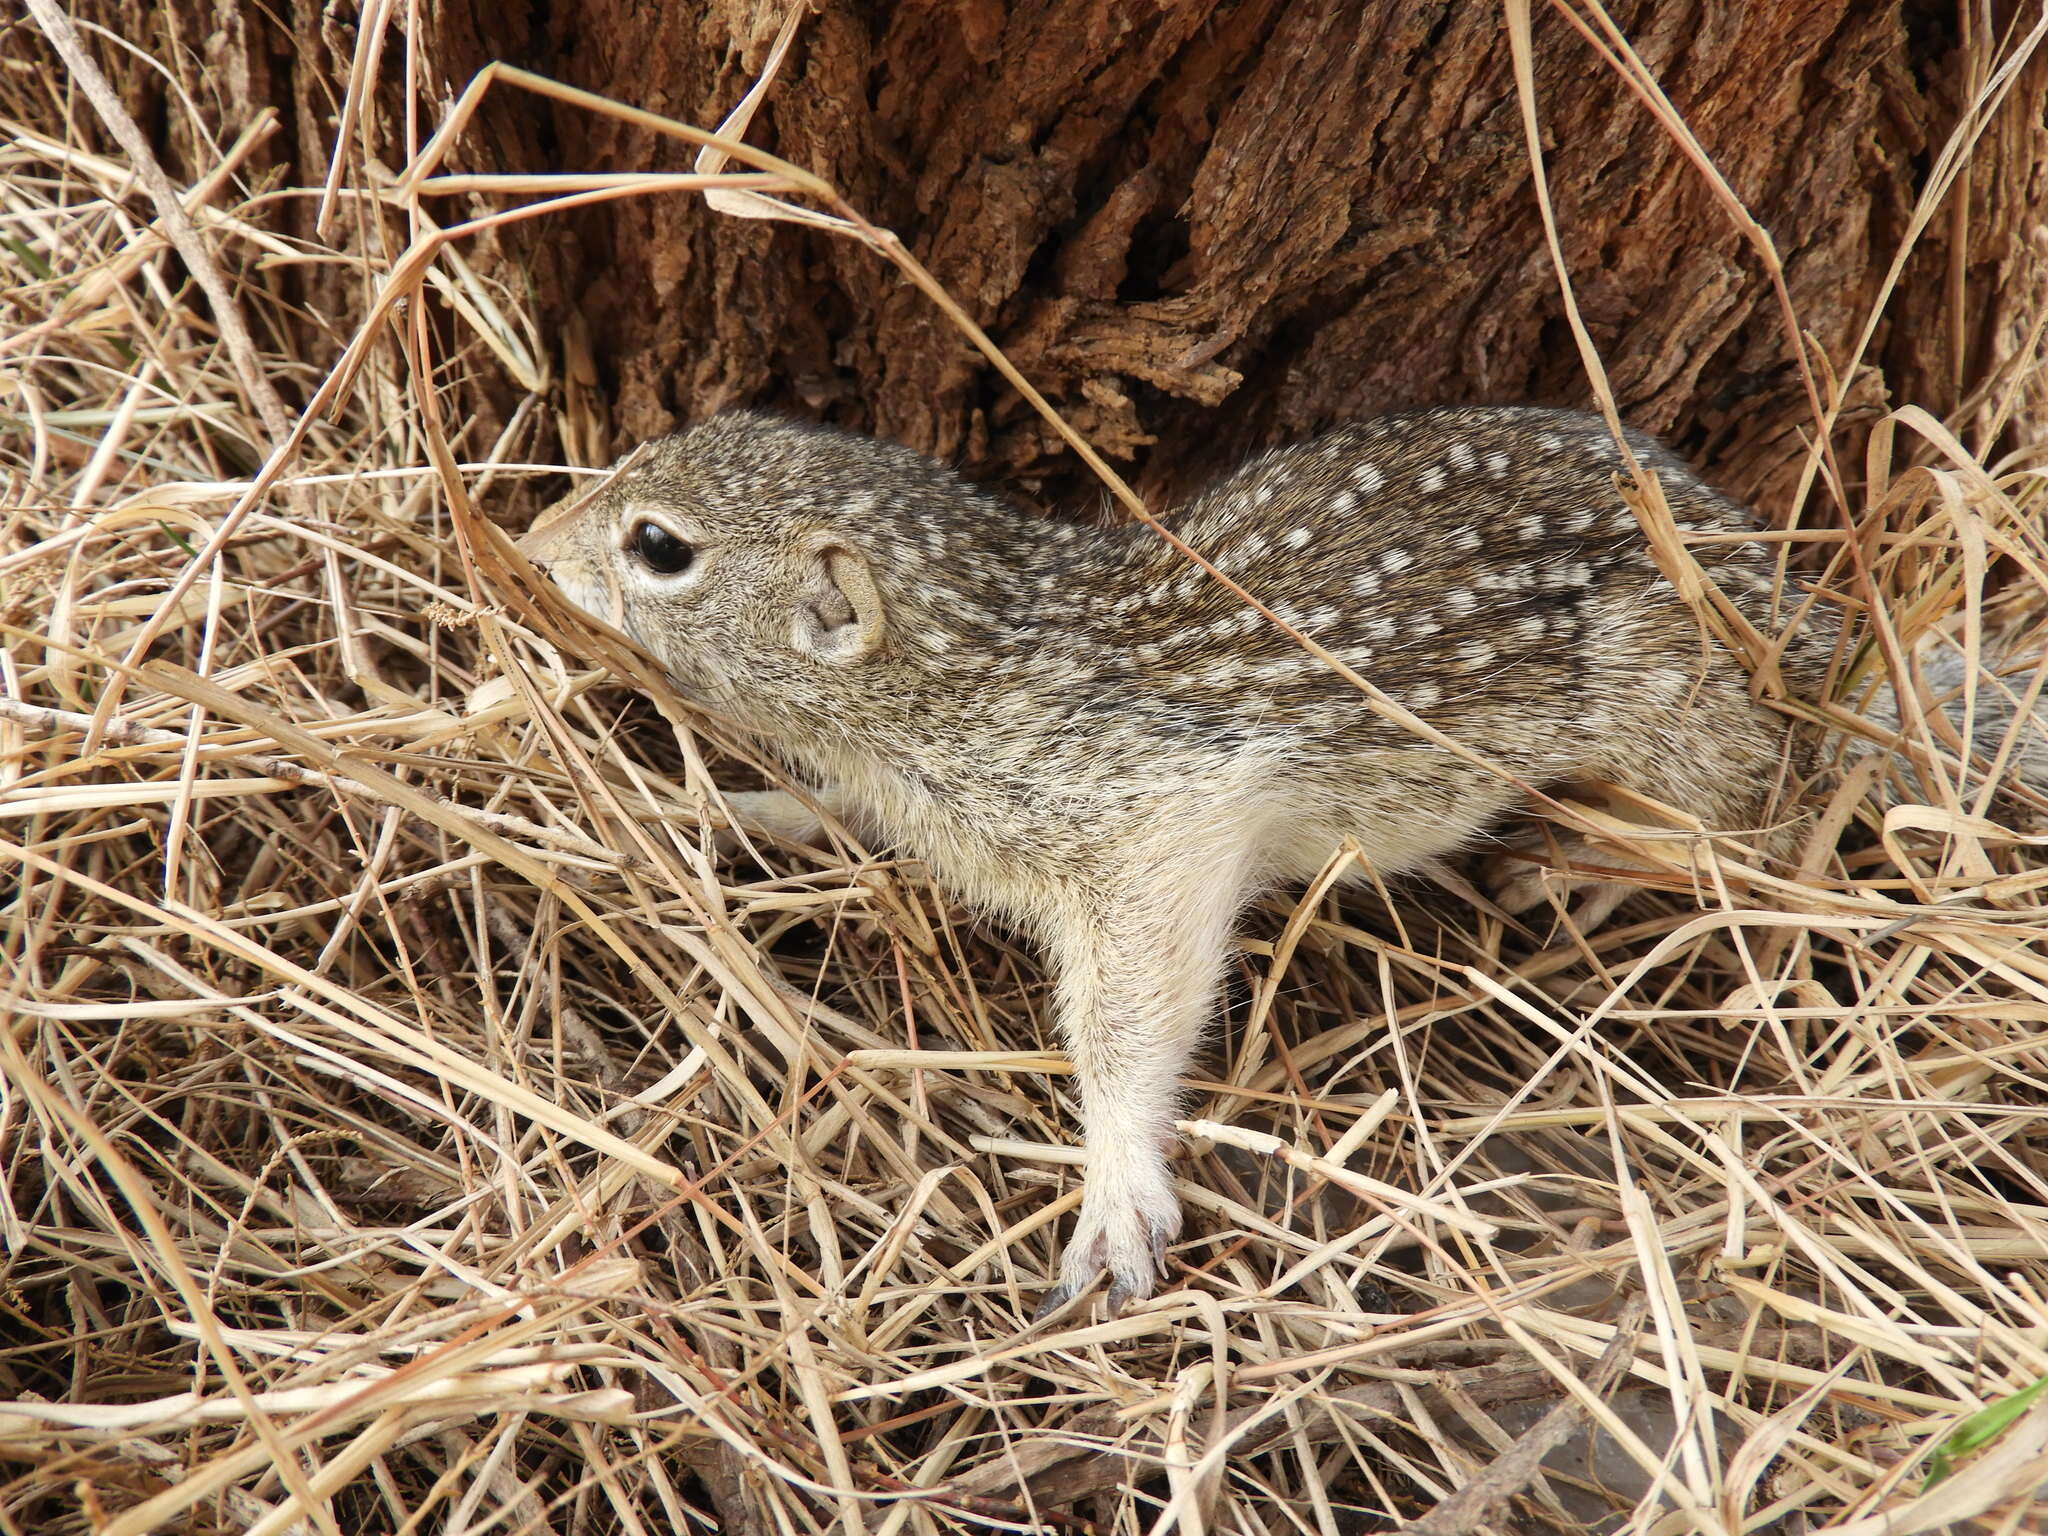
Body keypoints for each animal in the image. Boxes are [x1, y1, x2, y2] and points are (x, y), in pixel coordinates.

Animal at [516, 405, 1843, 1310]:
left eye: (657, 547)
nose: (528, 540)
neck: (965, 668)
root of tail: (1790, 590)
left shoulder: (1156, 822)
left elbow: (1125, 1023)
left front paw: (1114, 1193)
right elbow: (835, 811)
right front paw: (727, 807)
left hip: (1673, 715)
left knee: (1747, 819)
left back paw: (1581, 866)